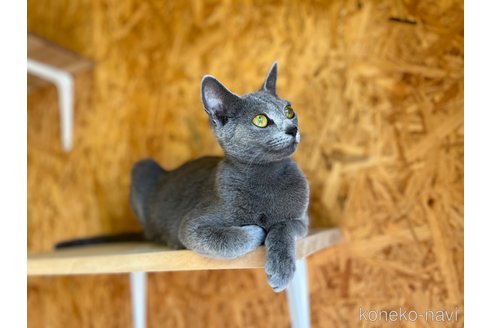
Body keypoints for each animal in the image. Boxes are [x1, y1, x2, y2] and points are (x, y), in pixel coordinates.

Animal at [129, 62, 310, 290]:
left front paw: (281, 268)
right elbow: (228, 239)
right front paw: (258, 230)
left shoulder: (303, 220)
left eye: (289, 111)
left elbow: (283, 226)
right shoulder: (192, 226)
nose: (292, 128)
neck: (267, 176)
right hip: (142, 167)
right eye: (260, 120)